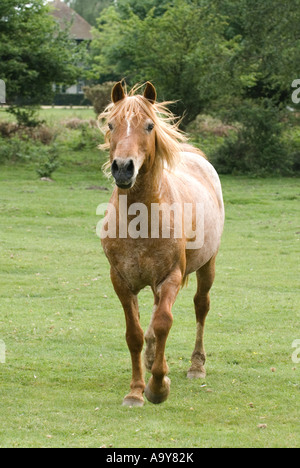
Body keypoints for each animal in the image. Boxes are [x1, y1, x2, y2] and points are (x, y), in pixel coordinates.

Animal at [99, 81, 224, 406]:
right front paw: (136, 390)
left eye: (149, 126)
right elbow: (134, 333)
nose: (123, 168)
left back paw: (196, 366)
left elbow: (164, 323)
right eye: (111, 124)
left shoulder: (170, 277)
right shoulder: (121, 281)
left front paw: (157, 387)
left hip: (207, 265)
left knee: (200, 306)